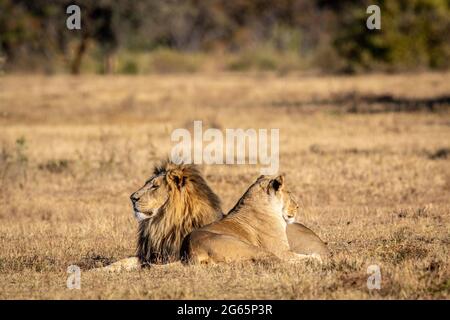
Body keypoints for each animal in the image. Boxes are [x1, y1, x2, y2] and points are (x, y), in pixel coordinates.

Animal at [178, 174, 320, 264]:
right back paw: (314, 260)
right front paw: (315, 257)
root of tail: (191, 251)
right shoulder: (282, 251)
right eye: (289, 193)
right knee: (277, 262)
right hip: (249, 247)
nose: (297, 206)